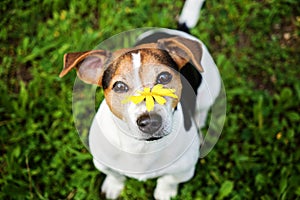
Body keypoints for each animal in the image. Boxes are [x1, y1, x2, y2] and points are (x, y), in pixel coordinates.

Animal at [59, 0, 221, 199]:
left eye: (164, 77)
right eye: (119, 86)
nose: (150, 122)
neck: (141, 148)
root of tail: (177, 32)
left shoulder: (183, 170)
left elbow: (168, 180)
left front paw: (165, 193)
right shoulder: (103, 163)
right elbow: (115, 174)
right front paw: (113, 186)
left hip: (211, 87)